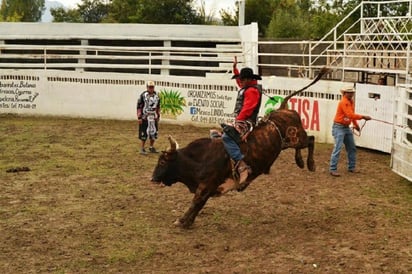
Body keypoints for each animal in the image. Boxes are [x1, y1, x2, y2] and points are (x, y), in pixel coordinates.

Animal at [150, 67, 328, 228]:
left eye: (163, 162)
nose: (152, 179)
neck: (199, 159)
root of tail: (283, 109)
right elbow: (200, 204)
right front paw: (187, 222)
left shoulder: (206, 185)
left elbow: (197, 202)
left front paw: (182, 220)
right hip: (287, 143)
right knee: (302, 145)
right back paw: (300, 161)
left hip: (297, 137)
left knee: (310, 140)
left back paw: (309, 164)